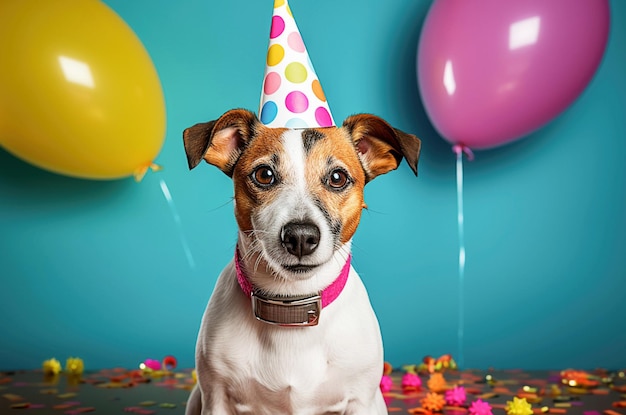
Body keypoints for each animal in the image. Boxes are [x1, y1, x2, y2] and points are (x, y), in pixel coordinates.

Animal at [182, 109, 420, 414]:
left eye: (337, 177)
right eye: (264, 174)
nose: (300, 236)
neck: (291, 305)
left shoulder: (363, 401)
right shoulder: (216, 398)